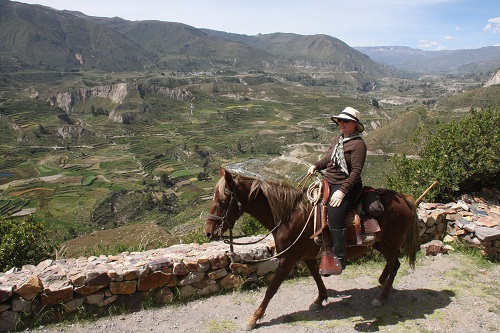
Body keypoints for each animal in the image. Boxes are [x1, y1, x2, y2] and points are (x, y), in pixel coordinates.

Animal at [203, 167, 418, 330]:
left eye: (222, 201)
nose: (208, 232)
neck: (288, 215)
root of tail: (403, 198)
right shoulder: (306, 256)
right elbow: (316, 277)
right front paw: (320, 299)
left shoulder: (287, 259)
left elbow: (271, 288)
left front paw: (254, 318)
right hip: (380, 243)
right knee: (392, 263)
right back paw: (382, 282)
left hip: (390, 242)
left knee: (395, 264)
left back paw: (381, 296)